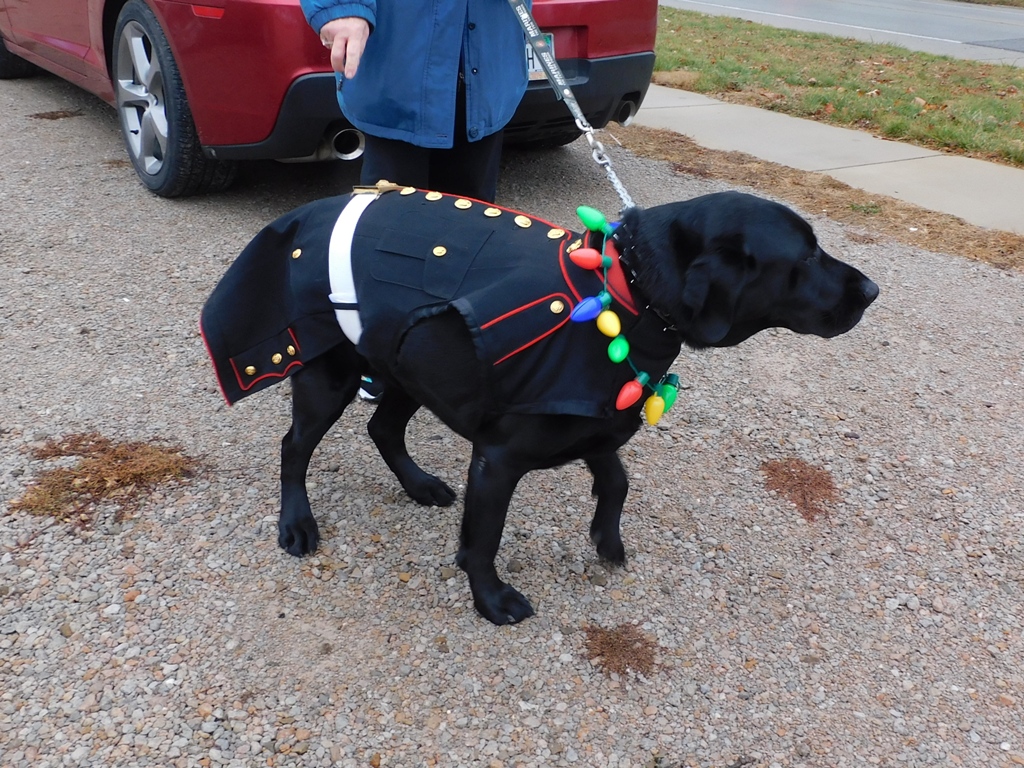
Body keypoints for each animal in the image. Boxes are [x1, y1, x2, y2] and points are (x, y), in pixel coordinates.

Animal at [201, 185, 878, 625]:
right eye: (806, 255)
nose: (872, 290)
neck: (627, 292)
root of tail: (305, 211)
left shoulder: (592, 423)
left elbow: (617, 480)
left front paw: (606, 538)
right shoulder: (498, 457)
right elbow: (483, 539)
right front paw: (490, 600)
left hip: (410, 364)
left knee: (383, 428)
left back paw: (419, 485)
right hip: (331, 374)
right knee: (295, 446)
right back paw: (296, 522)